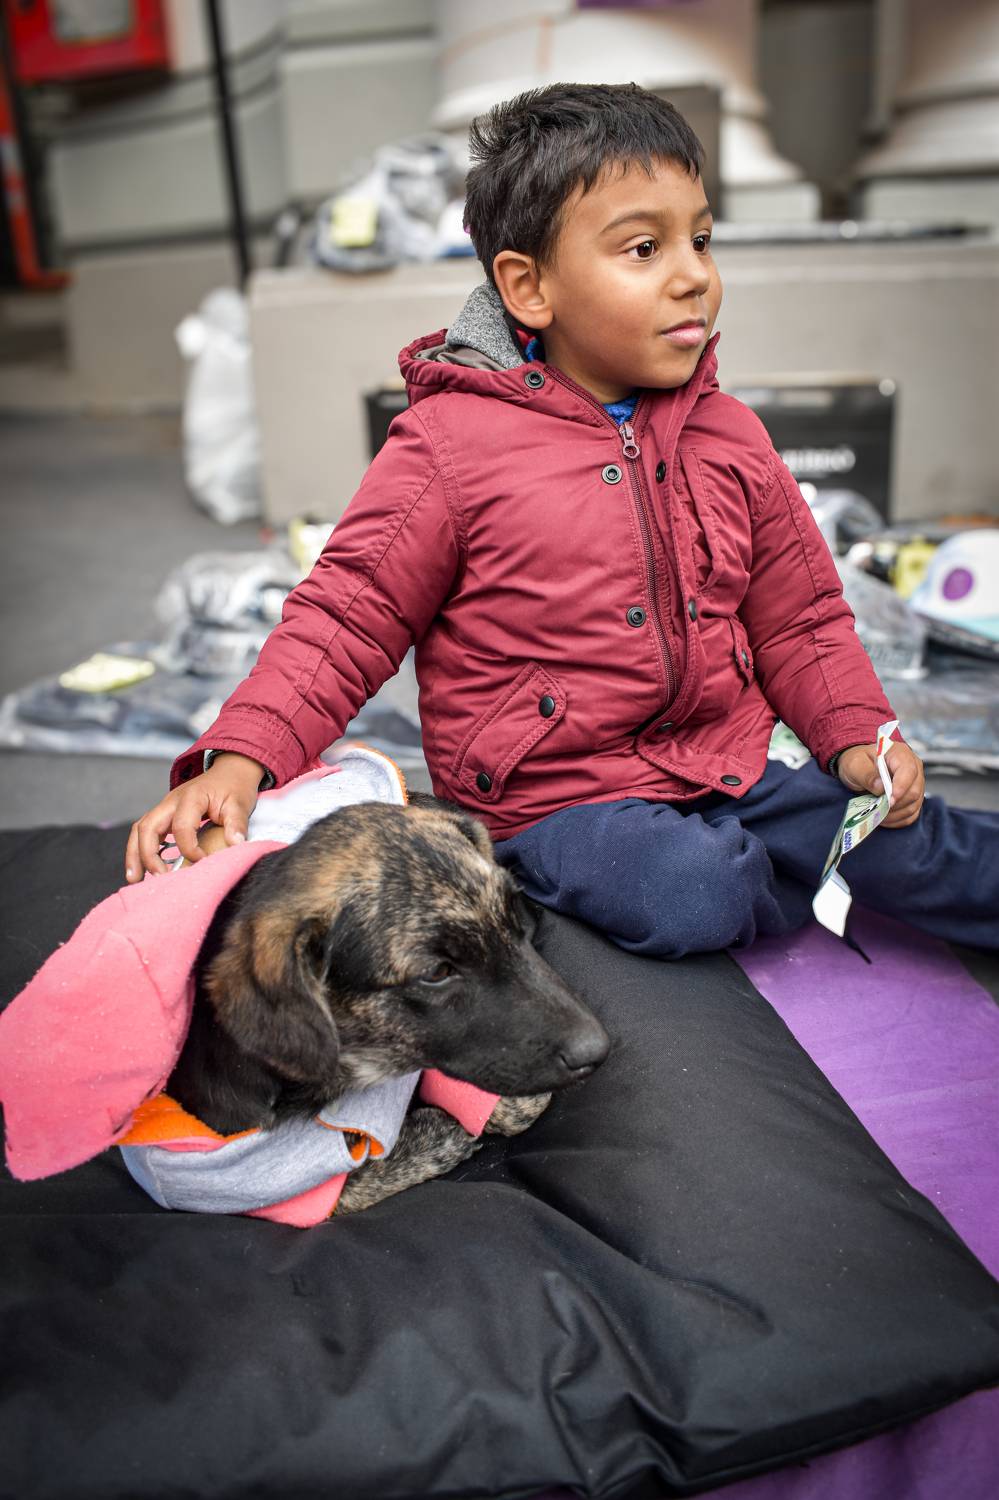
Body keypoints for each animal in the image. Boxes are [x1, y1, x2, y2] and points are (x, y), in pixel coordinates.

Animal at [167, 797, 610, 1213]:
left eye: (511, 917)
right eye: (436, 972)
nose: (599, 1051)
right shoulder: (230, 1176)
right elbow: (351, 1183)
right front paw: (440, 1133)